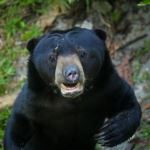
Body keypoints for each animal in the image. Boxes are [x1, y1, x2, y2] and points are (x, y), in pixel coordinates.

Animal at [4, 27, 141, 150]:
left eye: (82, 53)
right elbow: (20, 119)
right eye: (52, 57)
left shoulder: (108, 88)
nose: (71, 73)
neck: (72, 100)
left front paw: (111, 132)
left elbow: (128, 102)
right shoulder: (34, 101)